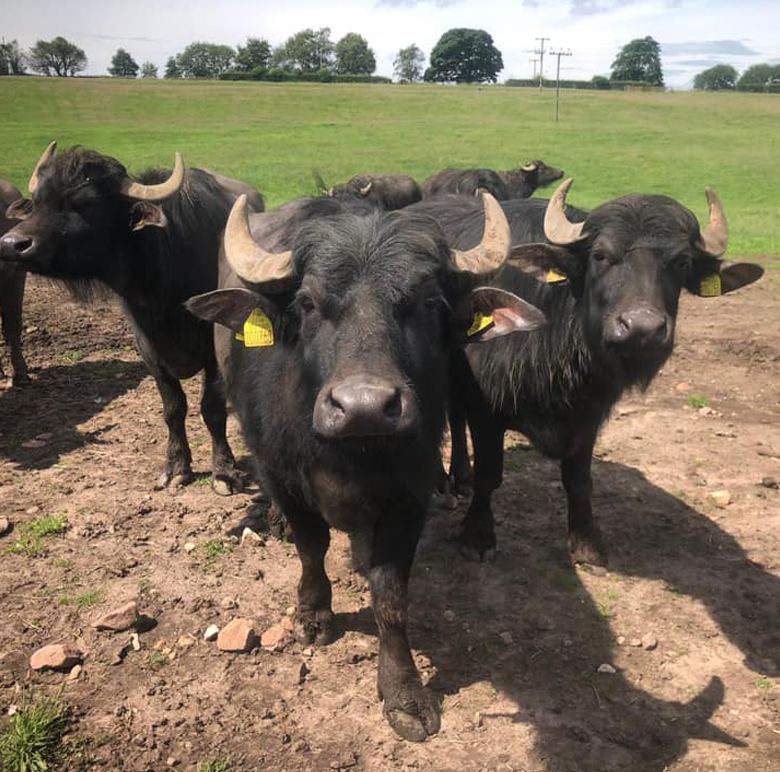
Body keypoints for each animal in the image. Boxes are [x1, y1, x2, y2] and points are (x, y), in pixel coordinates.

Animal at [0, 143, 251, 493]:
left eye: (86, 203)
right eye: (37, 201)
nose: (12, 244)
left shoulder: (214, 348)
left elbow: (211, 409)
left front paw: (224, 472)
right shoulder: (149, 351)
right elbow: (173, 409)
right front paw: (176, 467)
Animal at [187, 192, 546, 741]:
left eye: (428, 302)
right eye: (307, 303)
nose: (364, 407)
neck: (351, 455)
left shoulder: (410, 496)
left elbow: (391, 593)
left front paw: (404, 692)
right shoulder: (285, 478)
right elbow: (311, 548)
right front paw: (314, 614)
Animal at [412, 180, 763, 565]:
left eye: (682, 262)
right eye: (600, 256)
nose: (642, 328)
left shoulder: (589, 413)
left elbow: (579, 480)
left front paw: (586, 541)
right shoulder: (485, 408)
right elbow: (489, 474)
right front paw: (477, 536)